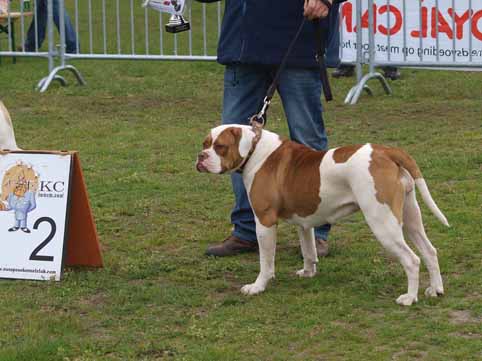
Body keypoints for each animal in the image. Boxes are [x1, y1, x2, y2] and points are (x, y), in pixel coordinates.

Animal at [195, 124, 448, 304]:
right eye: (205, 143)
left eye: (220, 146)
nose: (201, 156)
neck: (255, 150)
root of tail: (387, 151)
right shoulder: (304, 222)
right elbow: (308, 250)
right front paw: (308, 272)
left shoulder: (265, 221)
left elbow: (266, 260)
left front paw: (258, 286)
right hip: (410, 217)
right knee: (429, 251)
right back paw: (435, 289)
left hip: (382, 222)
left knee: (412, 260)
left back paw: (409, 298)